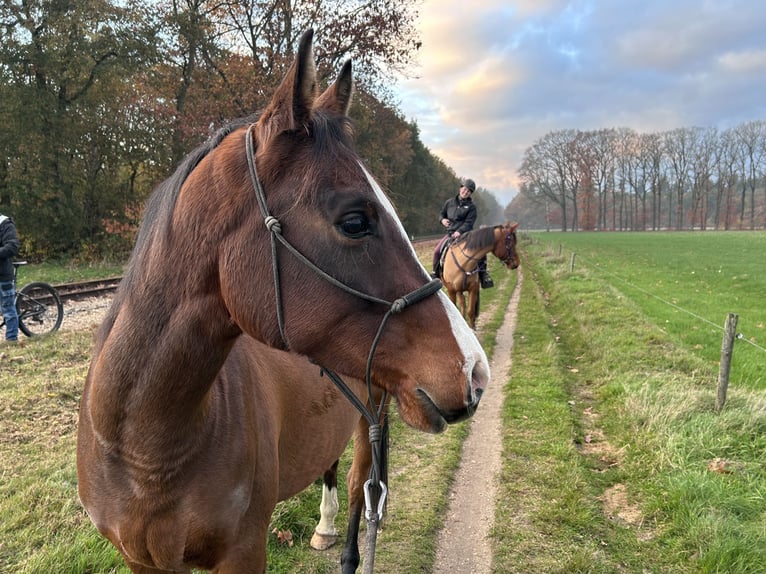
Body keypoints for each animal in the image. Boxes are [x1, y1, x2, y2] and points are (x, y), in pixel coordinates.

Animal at [76, 29, 490, 574]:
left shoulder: (245, 551)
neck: (142, 449)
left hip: (373, 413)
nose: (475, 371)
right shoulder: (140, 560)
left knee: (359, 487)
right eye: (354, 220)